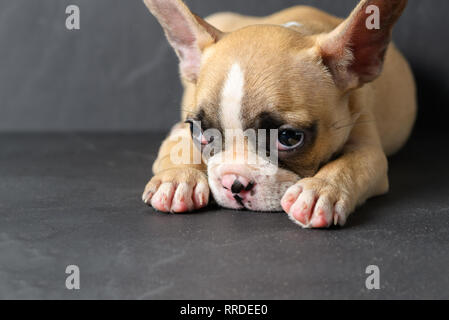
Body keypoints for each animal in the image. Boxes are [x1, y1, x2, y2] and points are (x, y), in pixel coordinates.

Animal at [141, 0, 416, 228]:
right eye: (198, 132)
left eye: (288, 138)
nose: (234, 182)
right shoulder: (180, 130)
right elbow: (178, 147)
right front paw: (177, 179)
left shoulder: (368, 150)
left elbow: (348, 165)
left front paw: (320, 191)